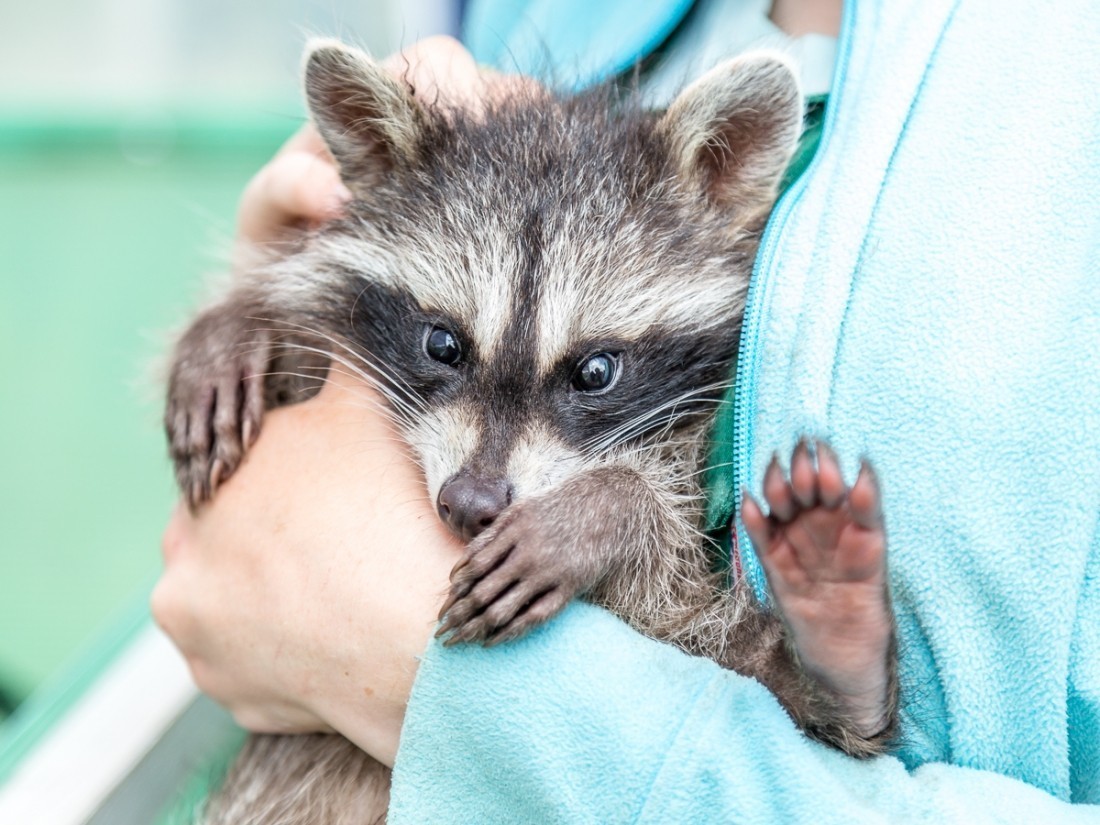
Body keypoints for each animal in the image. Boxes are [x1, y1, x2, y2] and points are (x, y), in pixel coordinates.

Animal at [167, 40, 897, 825]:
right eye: (442, 344)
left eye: (596, 370)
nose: (471, 503)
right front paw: (234, 326)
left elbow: (664, 529)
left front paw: (605, 509)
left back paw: (835, 650)